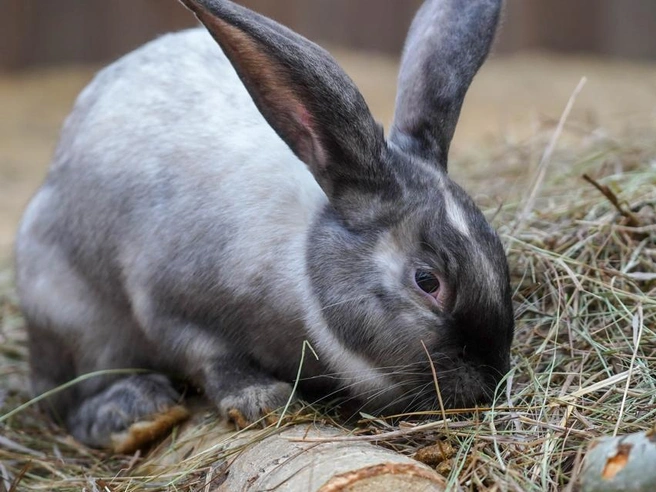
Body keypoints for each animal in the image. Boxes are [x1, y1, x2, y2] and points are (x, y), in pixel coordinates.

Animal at [15, 0, 514, 452]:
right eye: (427, 281)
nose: (488, 378)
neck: (300, 267)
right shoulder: (163, 301)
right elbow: (205, 352)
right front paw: (264, 401)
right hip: (72, 315)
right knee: (68, 397)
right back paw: (136, 413)